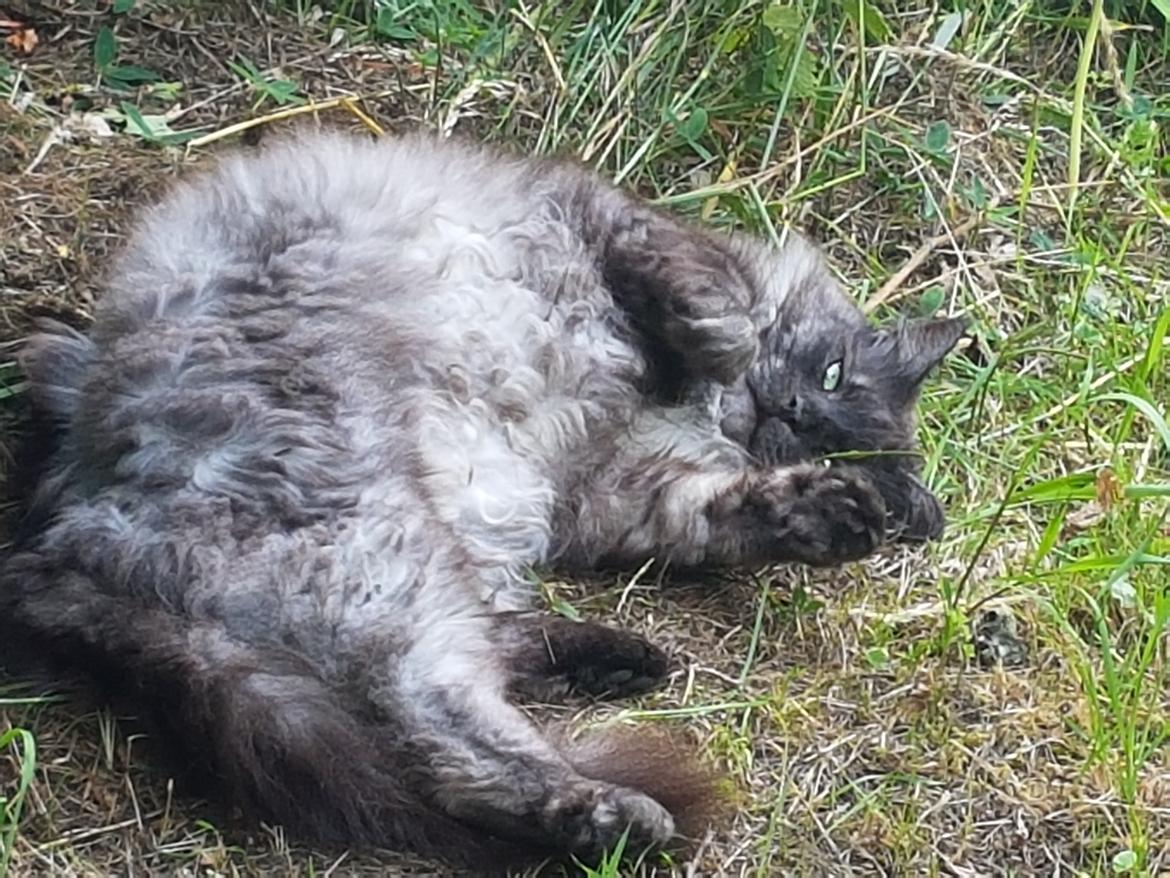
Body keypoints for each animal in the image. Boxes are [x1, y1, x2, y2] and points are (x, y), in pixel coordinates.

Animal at [0, 128, 964, 875]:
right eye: (831, 375)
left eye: (847, 445)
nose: (793, 413)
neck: (677, 405)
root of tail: (77, 539)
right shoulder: (609, 223)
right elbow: (717, 302)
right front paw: (728, 349)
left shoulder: (612, 491)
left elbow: (715, 512)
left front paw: (828, 515)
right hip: (382, 541)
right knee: (444, 719)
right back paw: (606, 795)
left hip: (404, 553)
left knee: (454, 716)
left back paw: (606, 742)